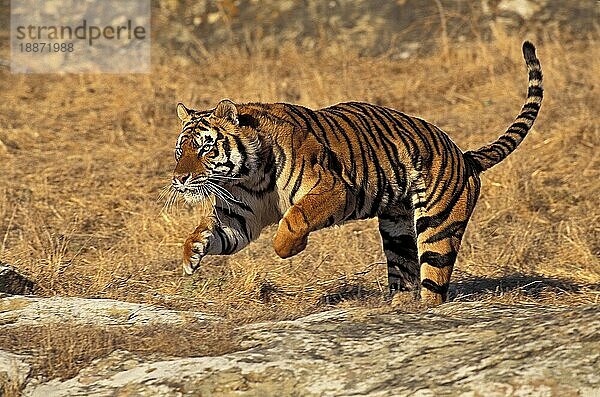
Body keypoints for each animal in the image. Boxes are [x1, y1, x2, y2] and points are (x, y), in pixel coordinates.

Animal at [168, 41, 544, 304]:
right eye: (181, 151)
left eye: (205, 148)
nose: (180, 179)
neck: (249, 175)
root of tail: (464, 156)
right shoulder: (241, 216)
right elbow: (211, 231)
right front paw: (190, 255)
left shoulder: (334, 187)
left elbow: (296, 217)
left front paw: (287, 248)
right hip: (397, 230)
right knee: (404, 271)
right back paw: (398, 306)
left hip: (438, 226)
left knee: (434, 282)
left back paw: (424, 309)